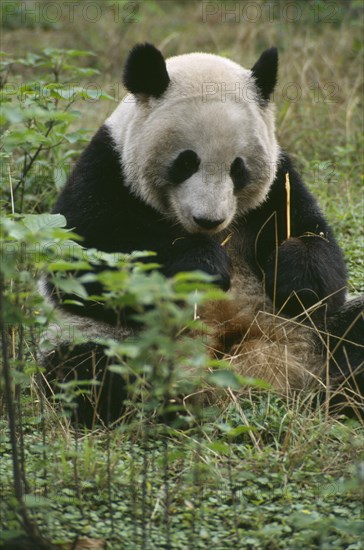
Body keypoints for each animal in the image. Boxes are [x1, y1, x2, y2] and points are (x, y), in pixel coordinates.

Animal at [42, 43, 362, 426]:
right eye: (186, 162)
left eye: (238, 169)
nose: (209, 220)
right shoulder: (106, 169)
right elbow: (85, 262)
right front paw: (203, 264)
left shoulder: (279, 185)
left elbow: (320, 251)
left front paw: (296, 279)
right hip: (106, 338)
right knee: (89, 371)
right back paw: (158, 406)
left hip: (313, 337)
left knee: (353, 333)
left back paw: (343, 391)